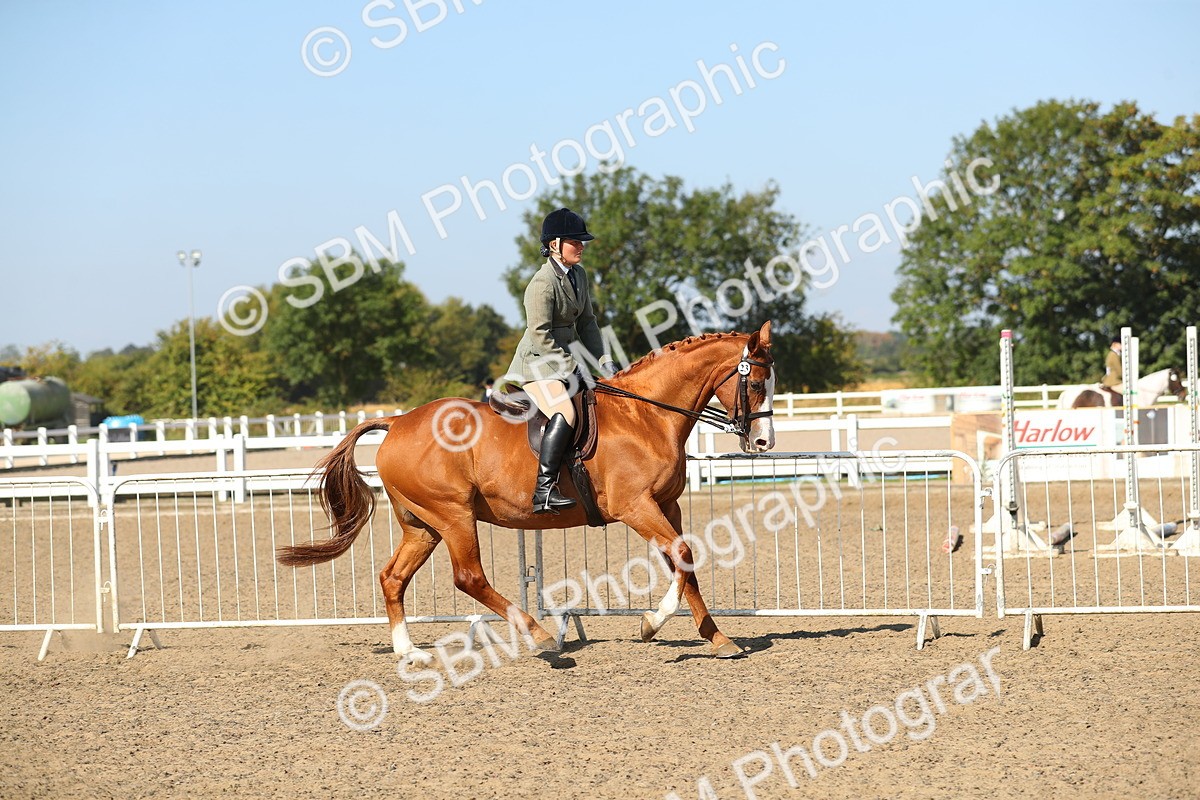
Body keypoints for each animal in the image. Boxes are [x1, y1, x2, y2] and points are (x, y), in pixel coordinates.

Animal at [277, 321, 777, 661]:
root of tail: (398, 422)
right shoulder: (636, 507)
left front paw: (717, 638)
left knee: (393, 578)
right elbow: (683, 555)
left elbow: (684, 563)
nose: (764, 443)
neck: (646, 416)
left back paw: (408, 651)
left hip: (423, 525)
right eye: (754, 383)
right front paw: (651, 624)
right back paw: (539, 636)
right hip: (454, 516)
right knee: (469, 577)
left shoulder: (666, 506)